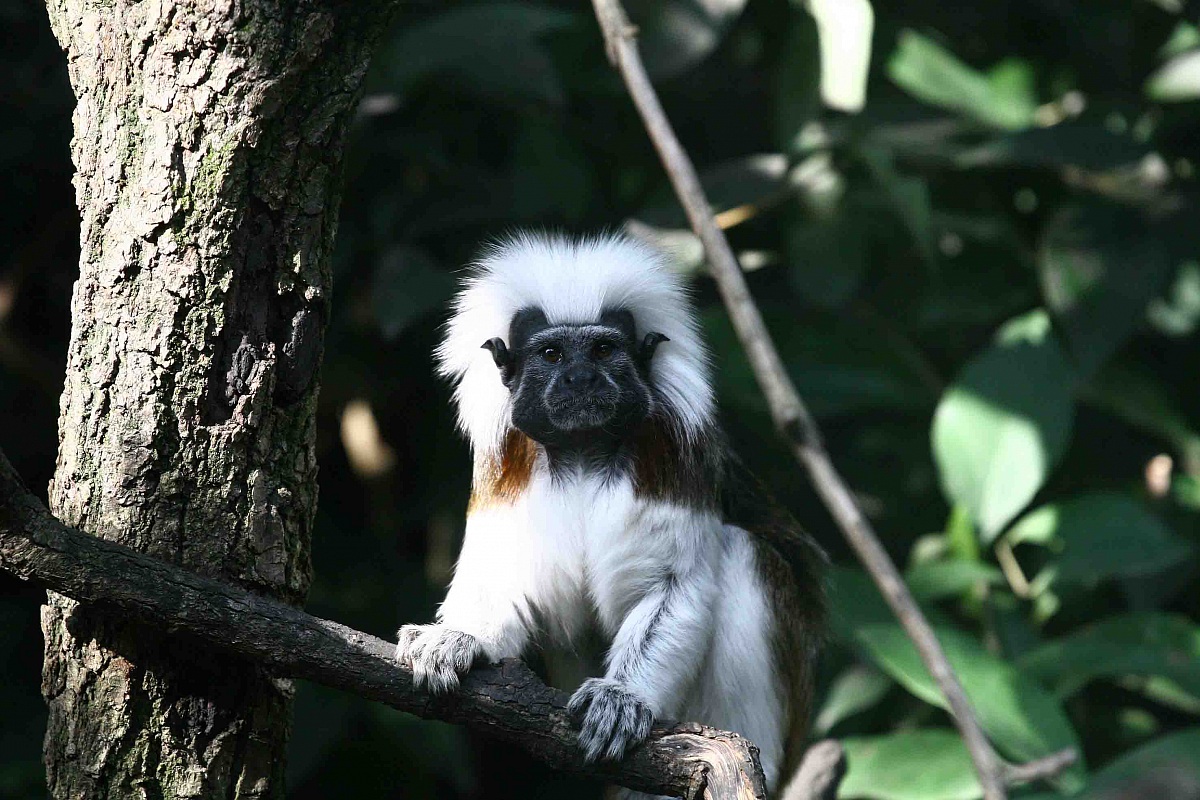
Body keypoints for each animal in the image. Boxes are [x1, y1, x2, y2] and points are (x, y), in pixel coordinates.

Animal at [396, 232, 825, 798]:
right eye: (552, 354)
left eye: (603, 349)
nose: (580, 378)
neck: (583, 453)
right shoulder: (504, 467)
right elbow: (501, 580)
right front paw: (457, 640)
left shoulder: (672, 458)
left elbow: (676, 589)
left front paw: (619, 698)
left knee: (744, 554)